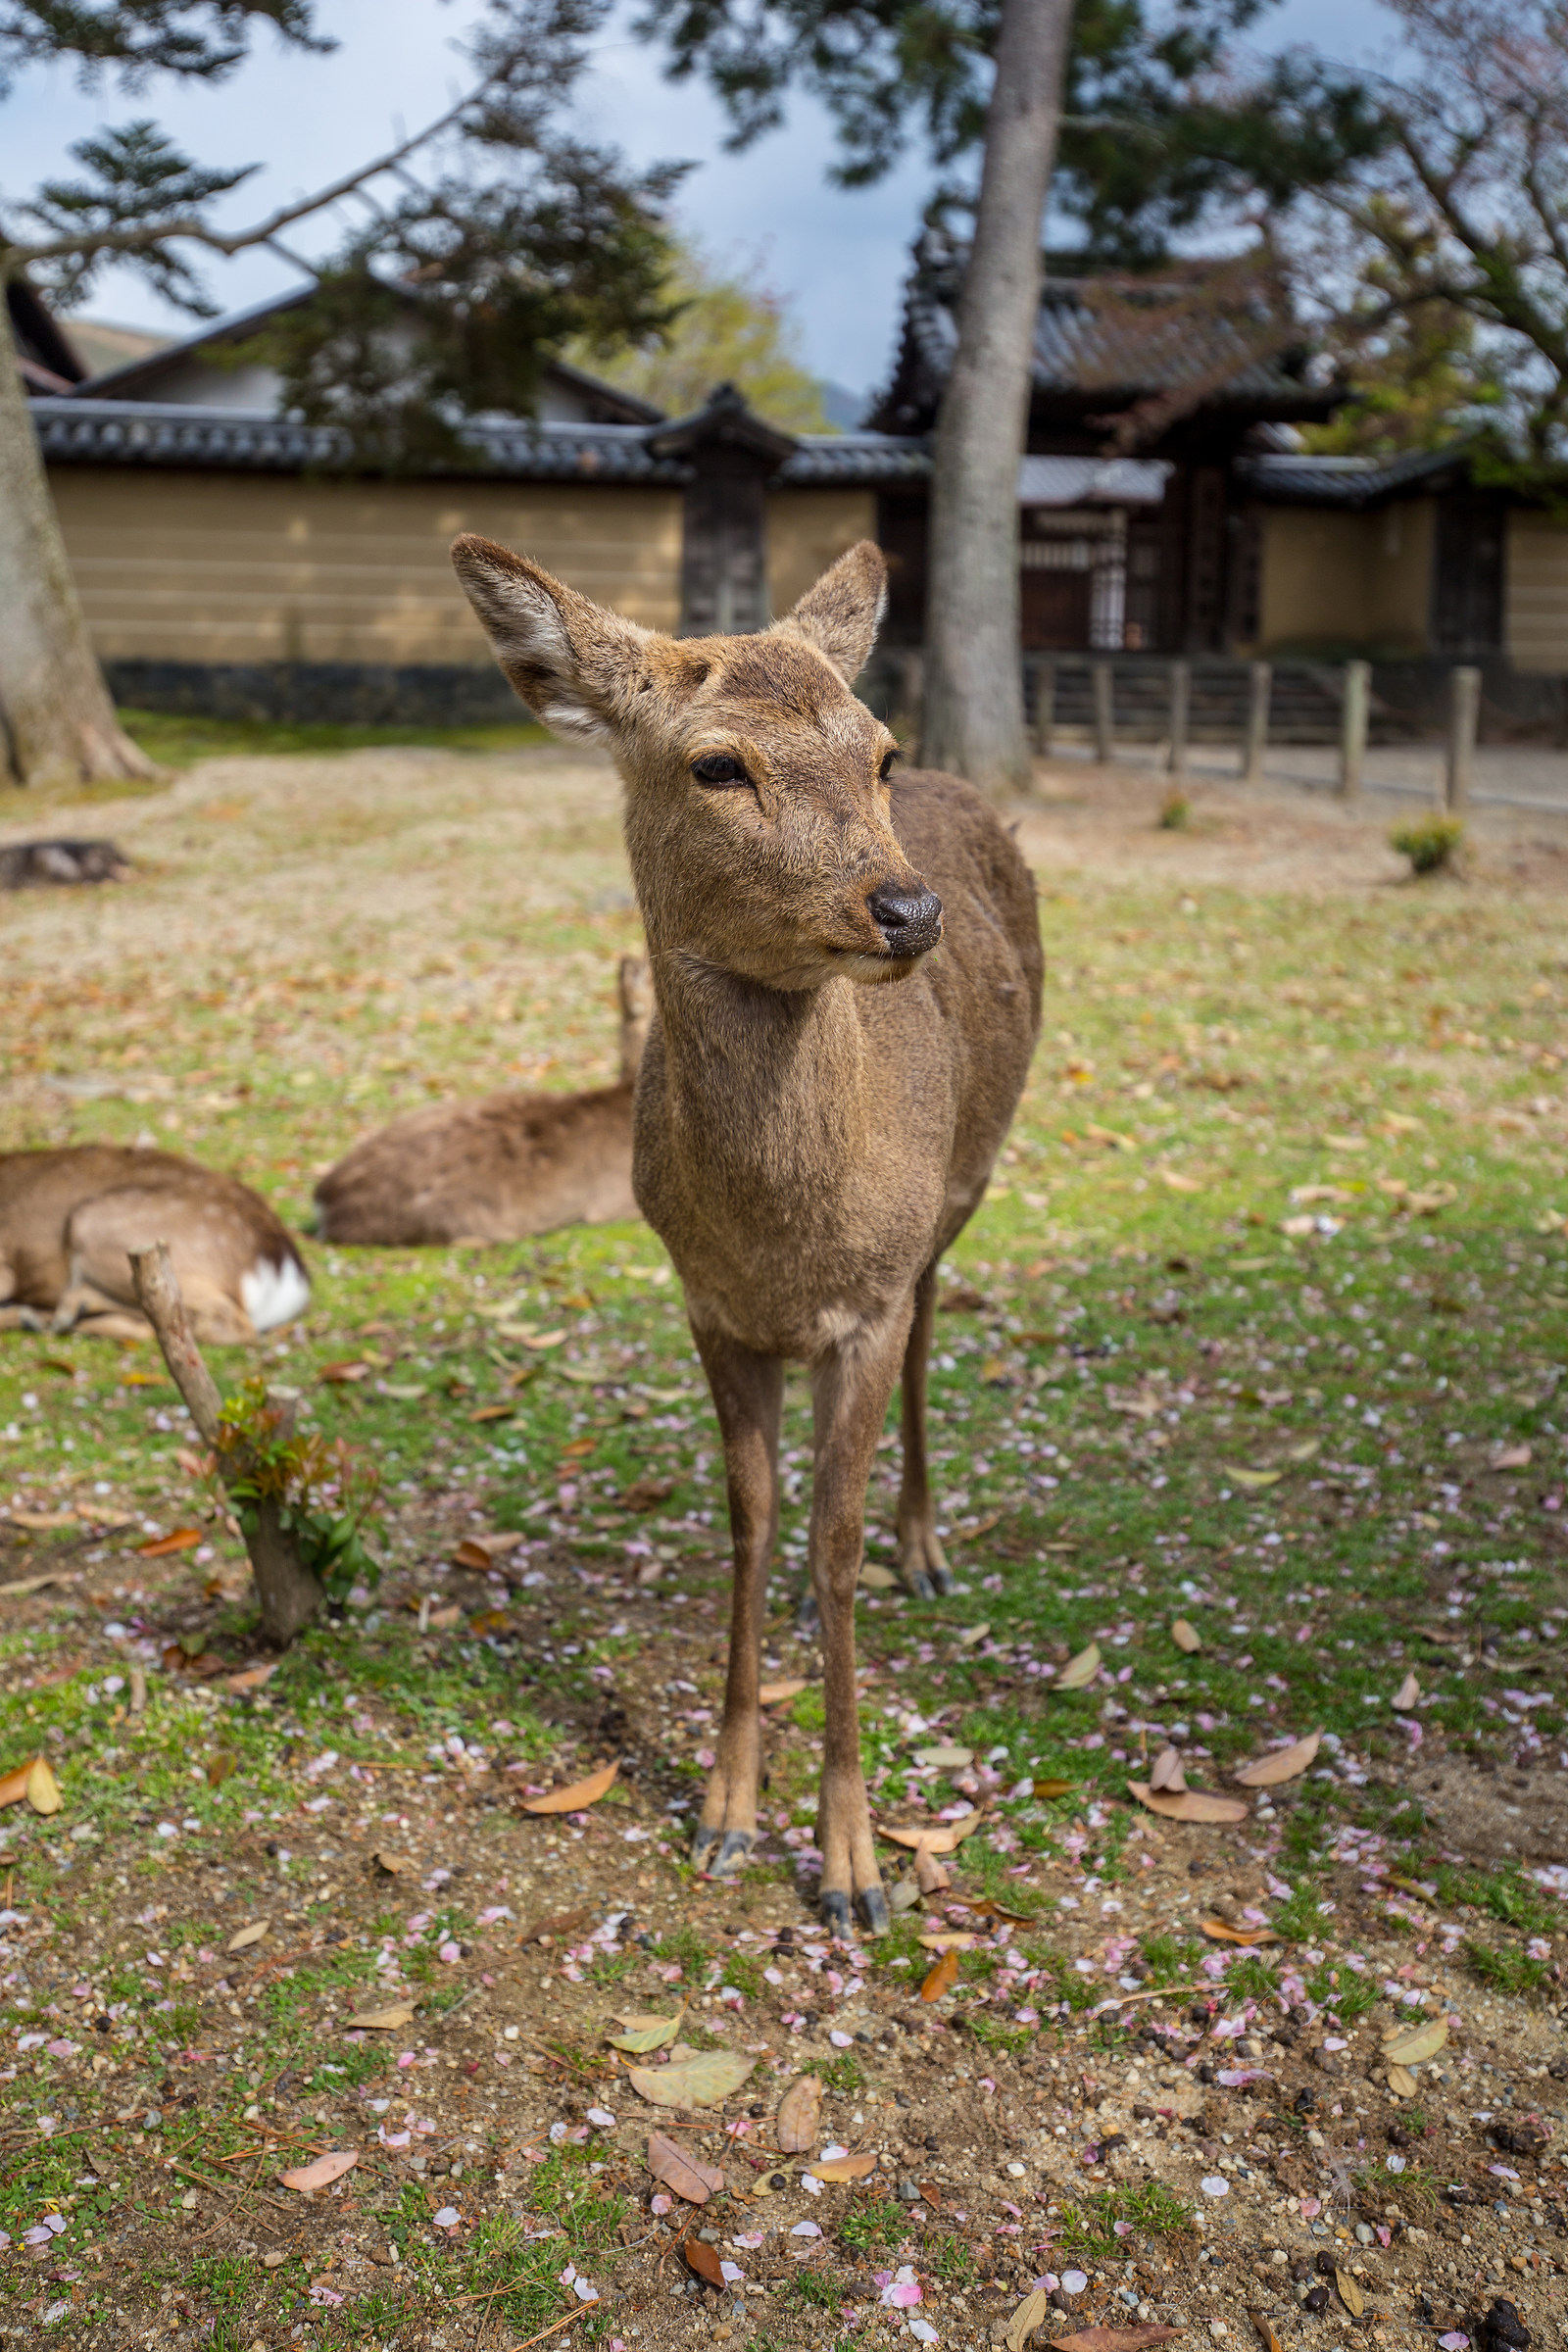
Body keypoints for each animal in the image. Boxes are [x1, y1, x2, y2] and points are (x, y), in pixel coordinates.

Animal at [451, 533, 1042, 1938]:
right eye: (717, 764)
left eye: (876, 748)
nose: (907, 911)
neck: (785, 1243)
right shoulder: (707, 1307)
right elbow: (751, 1522)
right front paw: (723, 1810)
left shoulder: (864, 1303)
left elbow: (830, 1543)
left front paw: (854, 1863)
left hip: (966, 1186)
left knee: (935, 1322)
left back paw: (926, 1548)